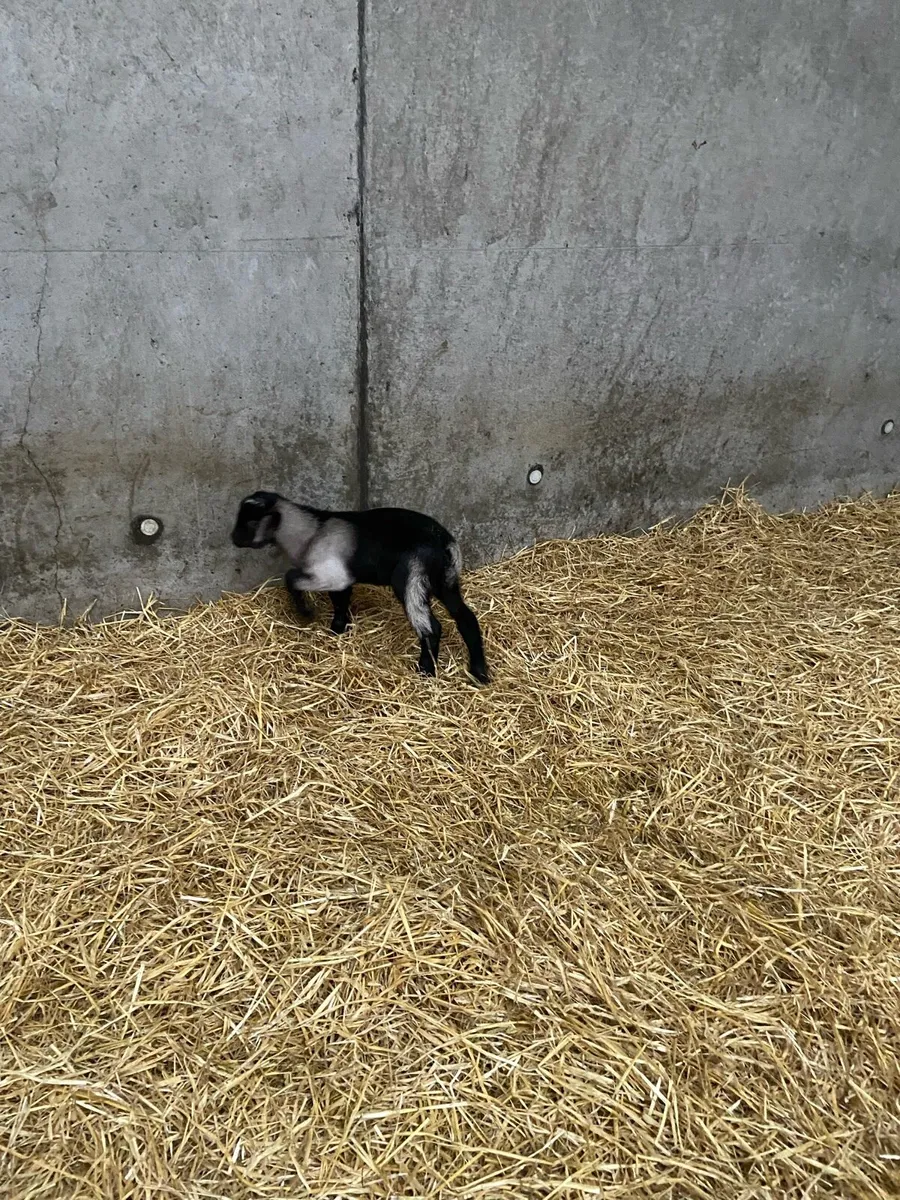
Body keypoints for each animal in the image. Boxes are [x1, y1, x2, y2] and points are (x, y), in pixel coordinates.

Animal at [230, 491, 490, 684]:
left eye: (250, 521)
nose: (233, 539)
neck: (310, 534)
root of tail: (444, 543)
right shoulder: (341, 580)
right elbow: (340, 601)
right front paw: (338, 629)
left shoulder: (329, 573)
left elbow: (291, 578)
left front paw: (306, 612)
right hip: (445, 581)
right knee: (466, 618)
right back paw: (479, 672)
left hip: (411, 579)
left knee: (431, 627)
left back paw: (426, 670)